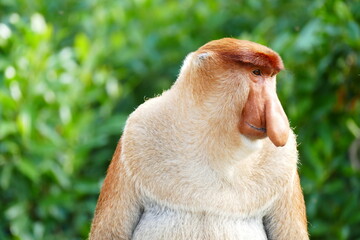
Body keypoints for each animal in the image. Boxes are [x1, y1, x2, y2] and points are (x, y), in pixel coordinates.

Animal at [88, 38, 308, 240]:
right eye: (256, 72)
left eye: (271, 76)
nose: (278, 120)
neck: (212, 139)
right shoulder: (137, 131)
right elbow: (111, 233)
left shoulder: (284, 160)